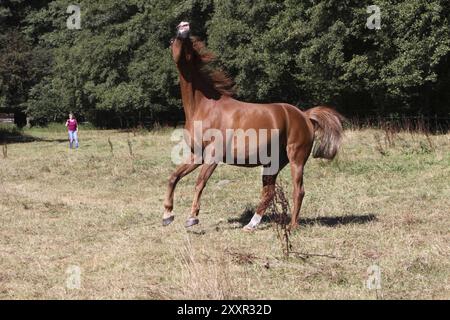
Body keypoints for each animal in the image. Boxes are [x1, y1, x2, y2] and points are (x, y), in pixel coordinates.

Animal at [163, 22, 342, 231]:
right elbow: (174, 177)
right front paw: (167, 215)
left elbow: (200, 183)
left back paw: (292, 226)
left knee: (299, 191)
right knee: (269, 192)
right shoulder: (197, 154)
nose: (184, 27)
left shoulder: (213, 155)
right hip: (273, 163)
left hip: (296, 159)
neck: (204, 106)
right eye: (174, 39)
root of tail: (304, 115)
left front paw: (192, 218)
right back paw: (251, 225)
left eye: (189, 43)